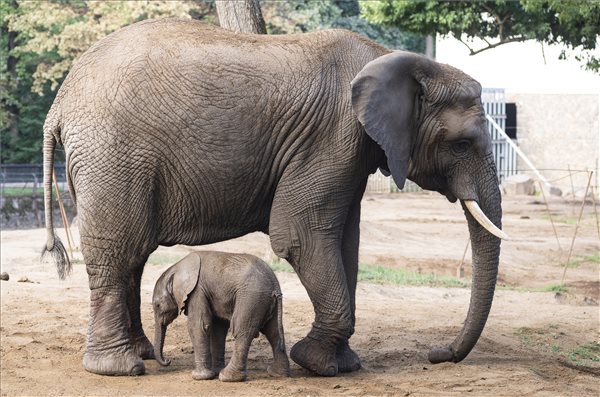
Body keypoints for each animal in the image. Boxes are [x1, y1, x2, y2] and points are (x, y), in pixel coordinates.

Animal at [151, 251, 290, 380]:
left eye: (157, 305)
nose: (168, 360)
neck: (176, 268)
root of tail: (275, 284)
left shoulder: (197, 291)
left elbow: (198, 326)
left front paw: (200, 377)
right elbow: (218, 328)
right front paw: (214, 371)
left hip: (252, 297)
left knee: (241, 330)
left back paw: (227, 377)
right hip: (264, 300)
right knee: (273, 332)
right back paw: (277, 373)